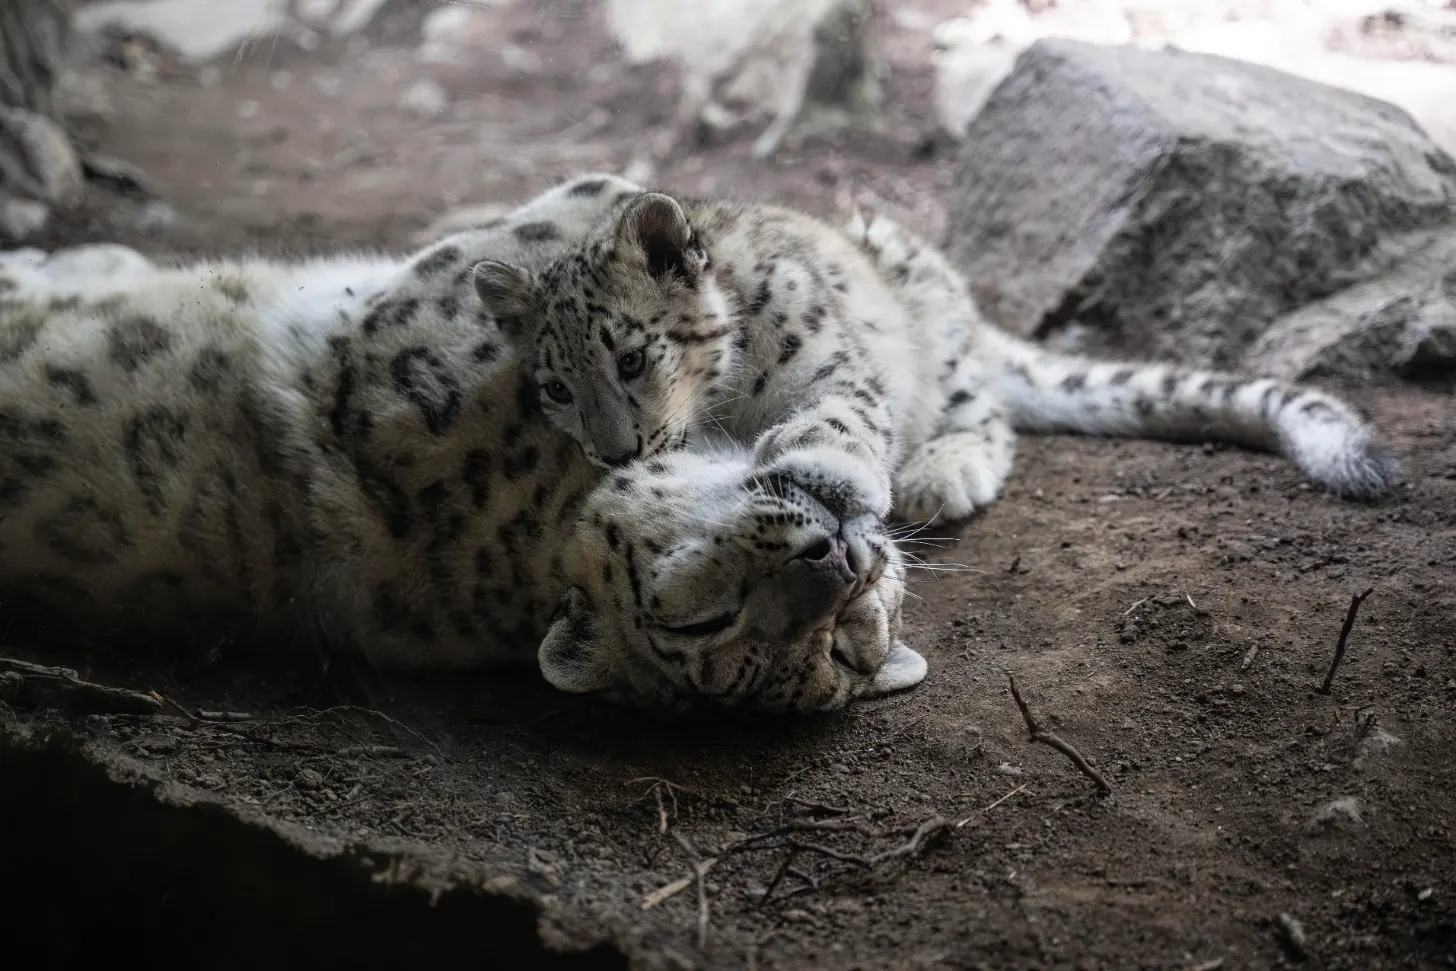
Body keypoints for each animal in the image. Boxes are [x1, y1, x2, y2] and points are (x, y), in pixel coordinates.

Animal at [471, 189, 1398, 527]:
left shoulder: (830, 368)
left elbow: (840, 417)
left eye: (631, 358)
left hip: (943, 353)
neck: (724, 401)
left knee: (988, 416)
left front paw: (825, 469)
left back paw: (942, 472)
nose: (612, 451)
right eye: (555, 387)